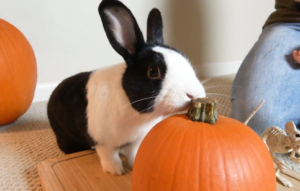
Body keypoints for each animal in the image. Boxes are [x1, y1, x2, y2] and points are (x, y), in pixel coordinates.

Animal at [47, 0, 206, 176]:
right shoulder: (104, 143)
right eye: (153, 71)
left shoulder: (136, 140)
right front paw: (115, 171)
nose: (193, 94)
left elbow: (133, 153)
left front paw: (135, 163)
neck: (136, 114)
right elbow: (109, 156)